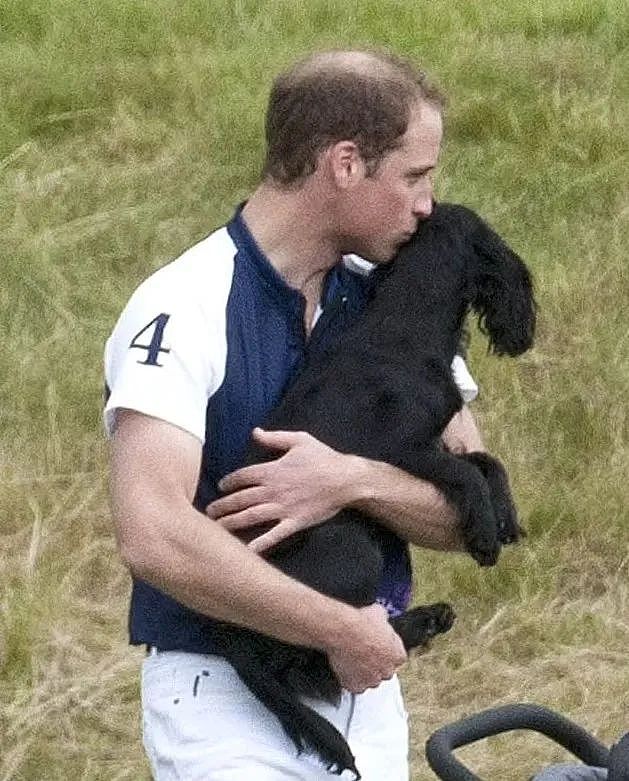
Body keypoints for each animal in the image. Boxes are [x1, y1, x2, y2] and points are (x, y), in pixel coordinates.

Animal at [206, 204, 536, 776]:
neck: (402, 331)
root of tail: (230, 641)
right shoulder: (400, 451)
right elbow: (467, 473)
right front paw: (483, 534)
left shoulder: (436, 440)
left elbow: (486, 462)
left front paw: (504, 516)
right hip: (350, 553)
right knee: (313, 663)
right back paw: (415, 627)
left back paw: (428, 619)